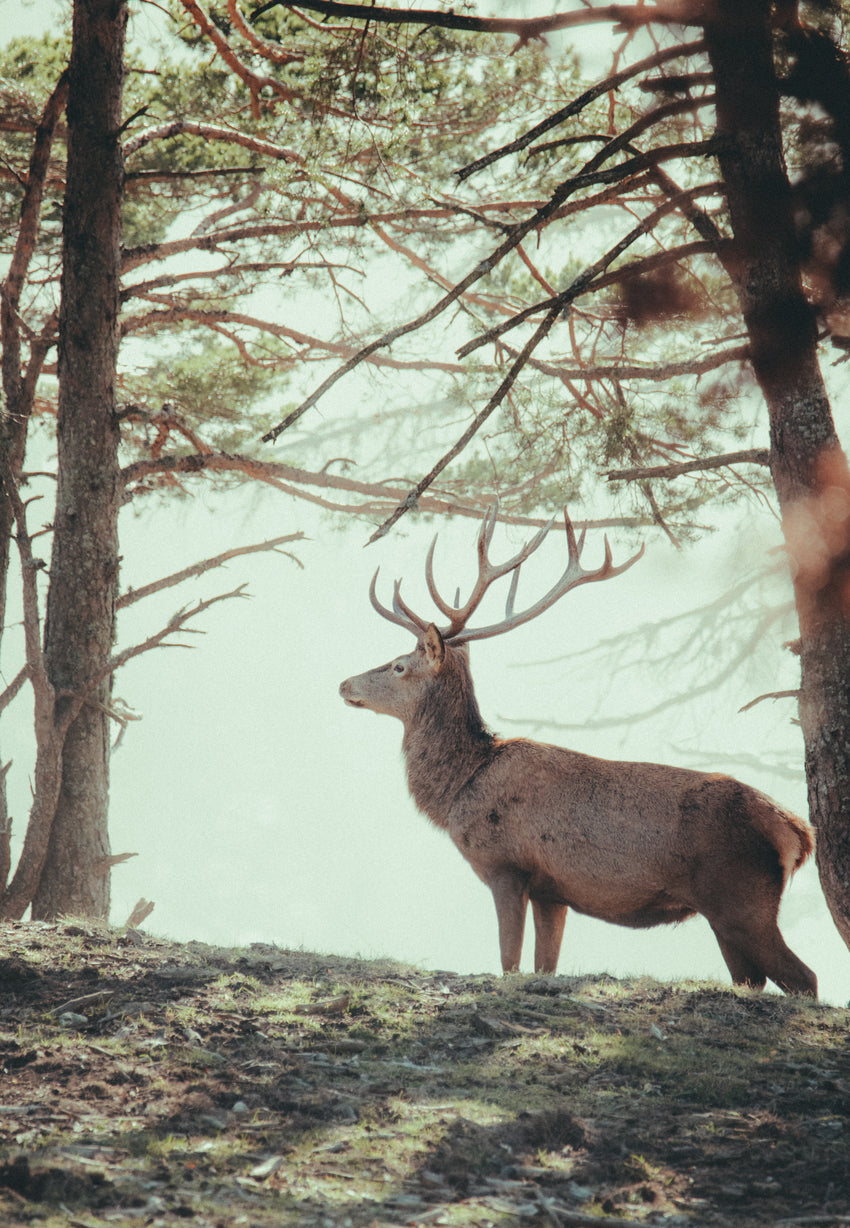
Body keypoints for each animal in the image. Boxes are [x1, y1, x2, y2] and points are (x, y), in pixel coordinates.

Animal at [339, 505, 818, 997]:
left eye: (399, 666)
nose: (344, 684)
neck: (461, 784)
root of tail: (800, 833)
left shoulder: (507, 867)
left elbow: (508, 962)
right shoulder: (552, 891)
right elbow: (543, 964)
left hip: (740, 896)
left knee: (805, 977)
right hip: (725, 915)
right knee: (752, 979)